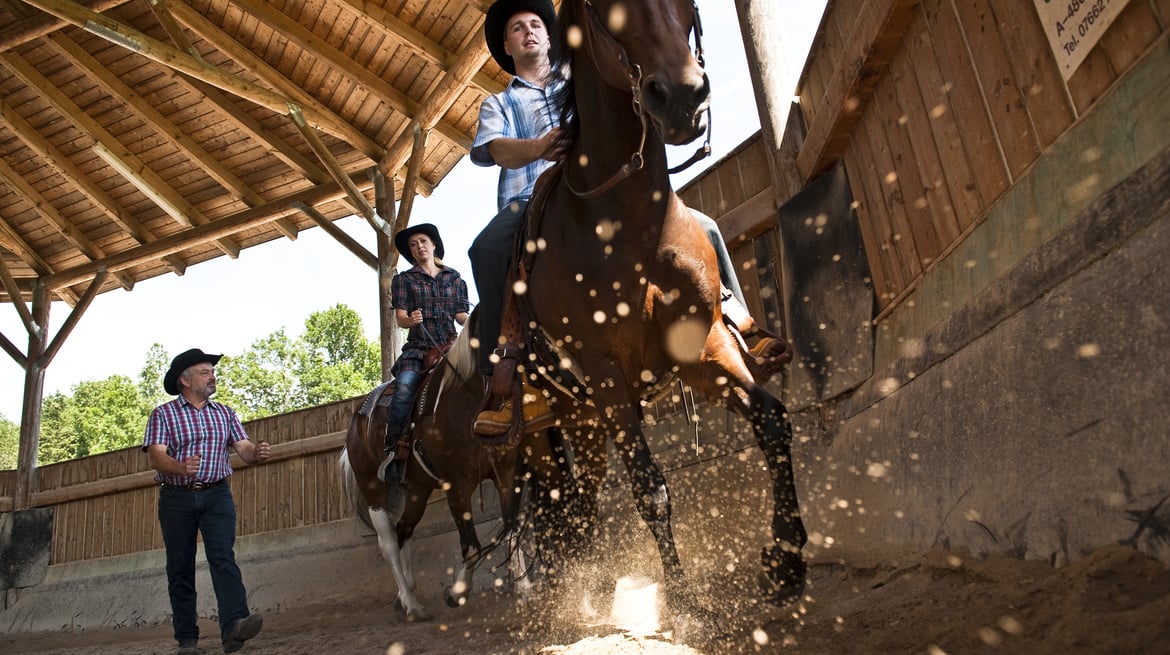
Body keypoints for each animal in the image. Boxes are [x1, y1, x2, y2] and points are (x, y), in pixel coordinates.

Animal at [498, 0, 809, 608]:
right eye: (599, 7)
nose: (683, 95)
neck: (629, 226)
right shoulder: (605, 374)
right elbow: (650, 488)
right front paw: (683, 601)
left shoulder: (704, 344)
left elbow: (771, 422)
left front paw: (785, 560)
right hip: (558, 430)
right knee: (569, 508)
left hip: (585, 426)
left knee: (581, 506)